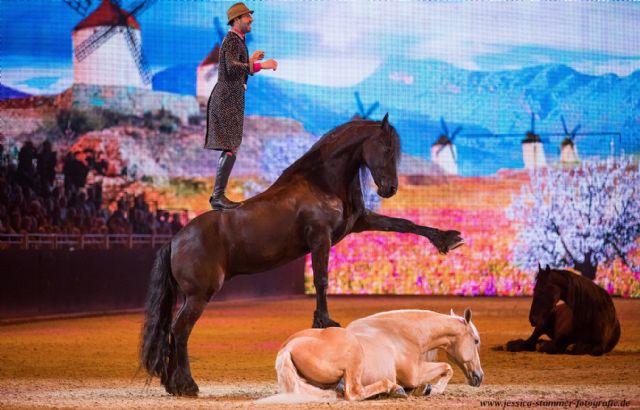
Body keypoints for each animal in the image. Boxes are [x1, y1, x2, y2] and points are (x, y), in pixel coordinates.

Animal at [140, 113, 462, 396]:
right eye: (386, 148)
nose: (390, 189)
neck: (321, 182)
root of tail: (175, 240)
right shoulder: (320, 238)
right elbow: (321, 279)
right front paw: (325, 322)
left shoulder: (359, 222)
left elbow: (404, 225)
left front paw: (447, 239)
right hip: (199, 295)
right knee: (180, 331)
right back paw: (187, 385)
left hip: (189, 296)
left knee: (172, 331)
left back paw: (173, 385)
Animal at [270, 308, 484, 400]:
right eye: (476, 340)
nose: (479, 377)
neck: (406, 334)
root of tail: (288, 348)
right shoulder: (415, 374)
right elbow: (447, 368)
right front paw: (433, 389)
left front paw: (427, 389)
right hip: (354, 360)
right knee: (354, 393)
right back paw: (393, 389)